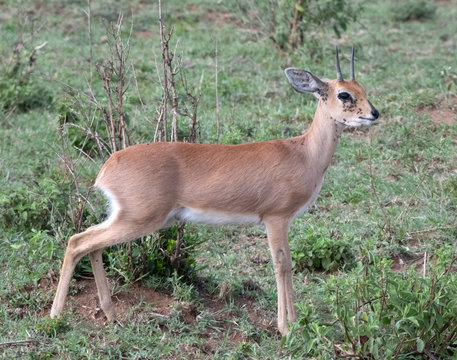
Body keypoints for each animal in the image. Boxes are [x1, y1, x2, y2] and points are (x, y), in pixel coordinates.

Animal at [50, 47, 378, 334]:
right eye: (344, 94)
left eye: (362, 88)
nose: (374, 113)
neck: (303, 153)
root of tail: (107, 167)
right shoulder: (276, 219)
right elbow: (282, 265)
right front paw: (287, 328)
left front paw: (294, 324)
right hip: (138, 220)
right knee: (78, 242)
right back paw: (55, 316)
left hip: (129, 219)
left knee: (90, 244)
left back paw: (111, 315)